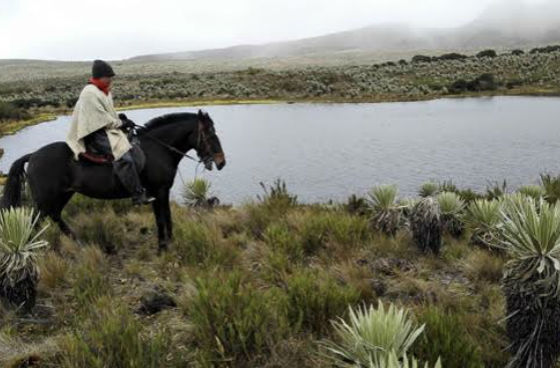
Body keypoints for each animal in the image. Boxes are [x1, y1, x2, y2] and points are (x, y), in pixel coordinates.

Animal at [2, 109, 226, 253]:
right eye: (209, 133)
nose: (221, 162)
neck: (158, 149)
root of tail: (32, 156)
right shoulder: (158, 191)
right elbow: (162, 219)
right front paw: (163, 248)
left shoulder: (162, 192)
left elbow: (167, 218)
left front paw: (169, 243)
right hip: (44, 200)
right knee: (33, 223)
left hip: (64, 194)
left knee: (56, 216)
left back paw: (79, 243)